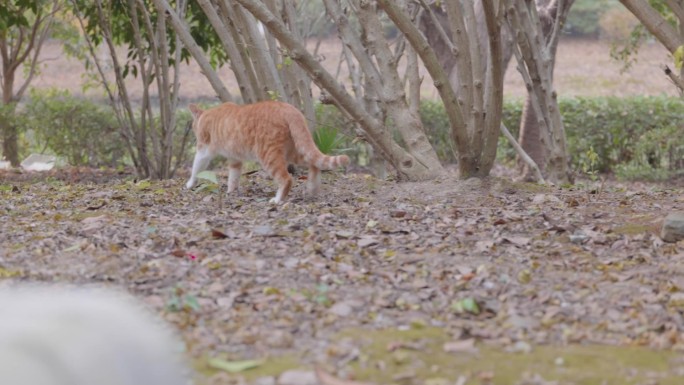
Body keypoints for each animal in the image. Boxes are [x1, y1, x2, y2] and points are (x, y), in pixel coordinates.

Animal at [186, 100, 350, 204]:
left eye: (193, 125)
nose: (193, 130)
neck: (206, 115)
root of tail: (288, 108)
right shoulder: (235, 159)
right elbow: (233, 176)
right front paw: (231, 191)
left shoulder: (204, 149)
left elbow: (196, 167)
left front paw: (190, 184)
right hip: (294, 150)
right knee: (314, 163)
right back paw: (313, 188)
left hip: (268, 155)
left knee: (287, 178)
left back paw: (277, 200)